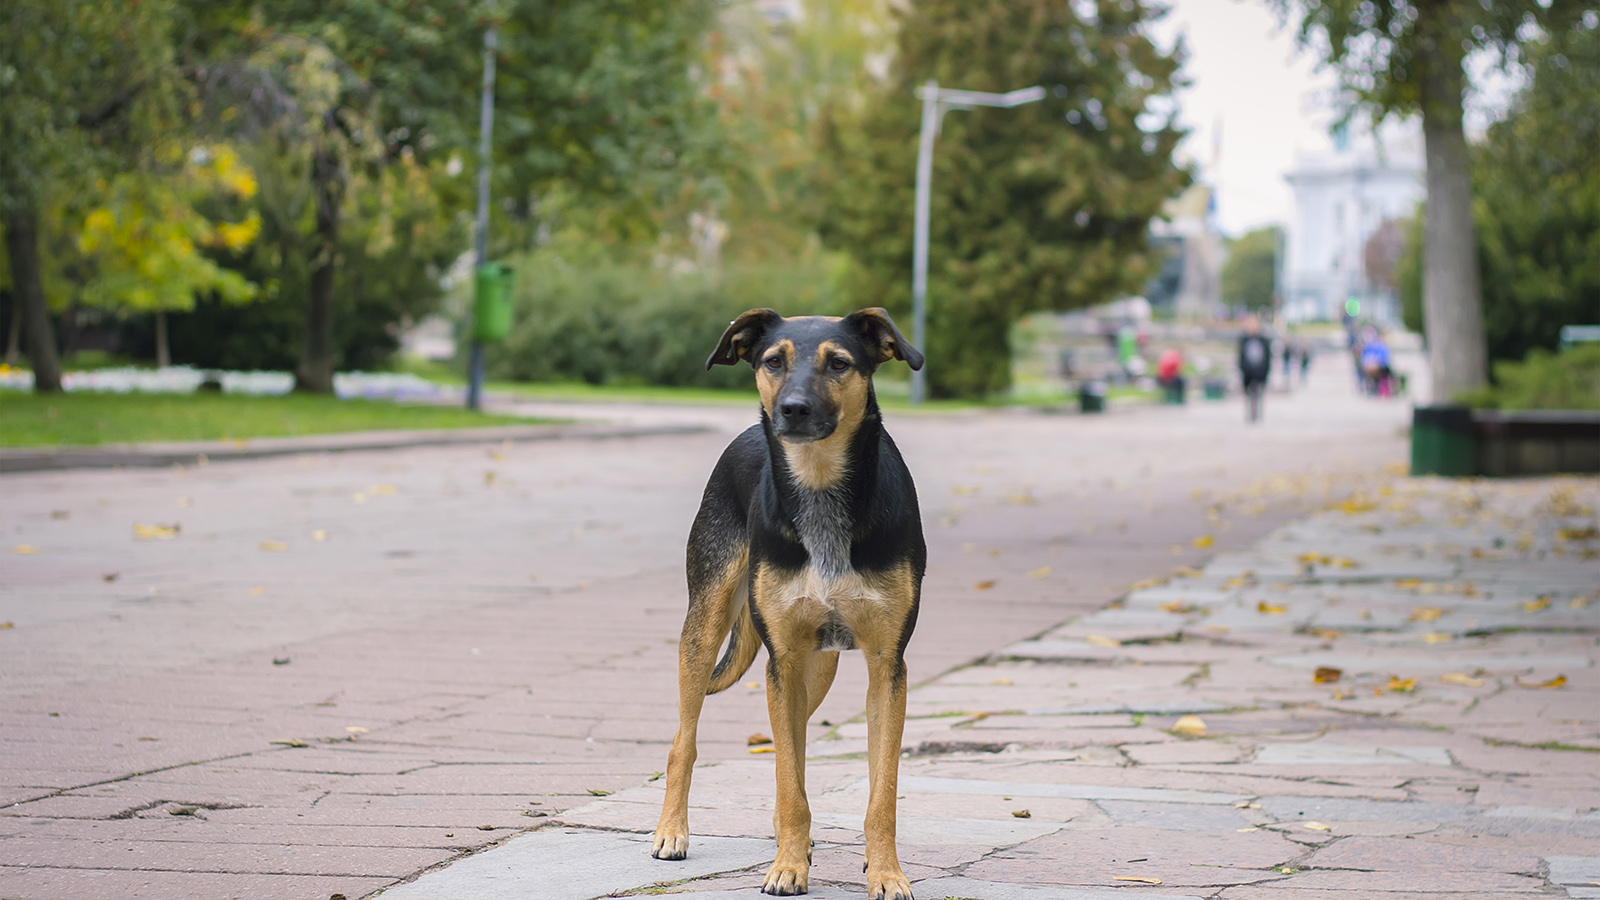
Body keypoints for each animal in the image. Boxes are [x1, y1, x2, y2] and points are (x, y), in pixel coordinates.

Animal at [649, 307, 928, 896]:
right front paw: (787, 867)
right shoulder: (782, 659)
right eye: (774, 361)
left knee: (791, 748)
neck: (820, 487)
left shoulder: (886, 666)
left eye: (839, 363)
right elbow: (788, 779)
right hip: (708, 628)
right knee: (686, 738)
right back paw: (672, 831)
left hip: (815, 668)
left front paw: (885, 872)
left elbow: (881, 792)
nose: (792, 409)